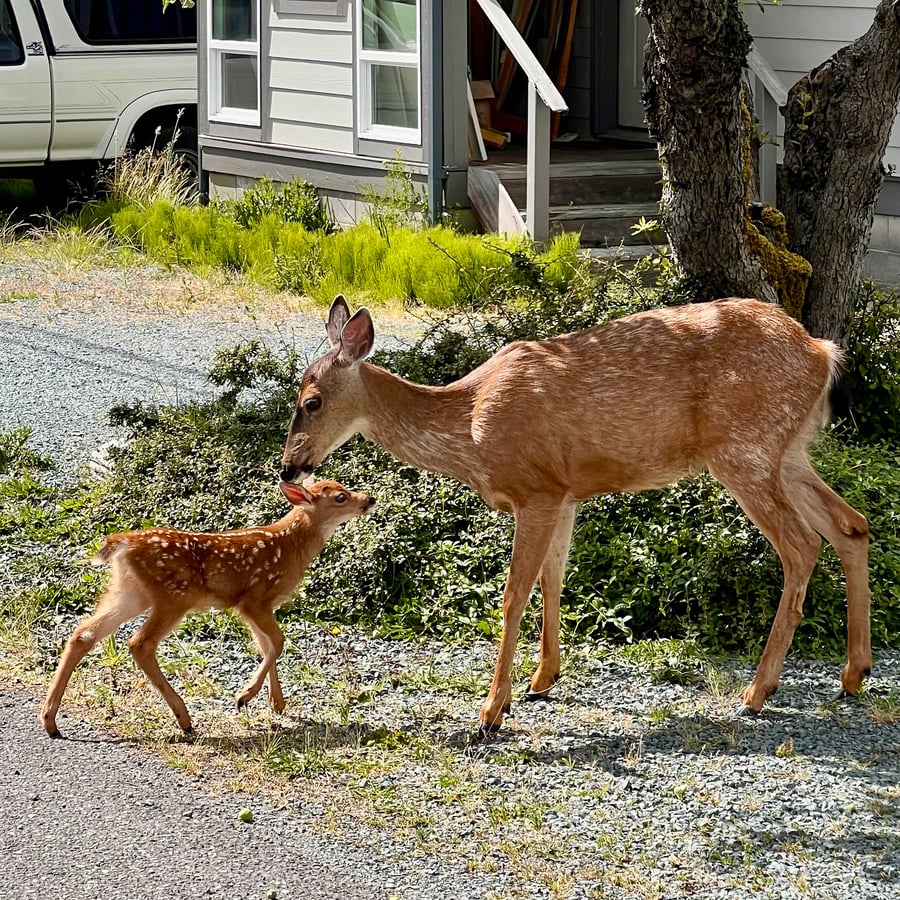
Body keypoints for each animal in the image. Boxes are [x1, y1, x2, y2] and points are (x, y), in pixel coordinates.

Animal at [41, 477, 375, 738]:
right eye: (341, 496)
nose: (369, 499)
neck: (291, 545)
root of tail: (121, 542)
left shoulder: (254, 606)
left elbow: (267, 645)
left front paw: (276, 704)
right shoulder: (255, 598)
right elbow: (277, 642)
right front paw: (245, 697)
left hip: (130, 593)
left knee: (84, 633)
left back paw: (50, 721)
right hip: (174, 595)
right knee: (139, 643)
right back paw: (184, 719)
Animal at [280, 295, 872, 739]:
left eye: (311, 401)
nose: (288, 466)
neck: (469, 424)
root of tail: (822, 352)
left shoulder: (537, 490)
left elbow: (513, 594)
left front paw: (492, 710)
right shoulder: (565, 495)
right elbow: (554, 578)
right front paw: (542, 678)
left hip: (744, 448)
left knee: (803, 544)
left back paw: (759, 690)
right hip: (787, 451)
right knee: (852, 525)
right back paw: (853, 674)